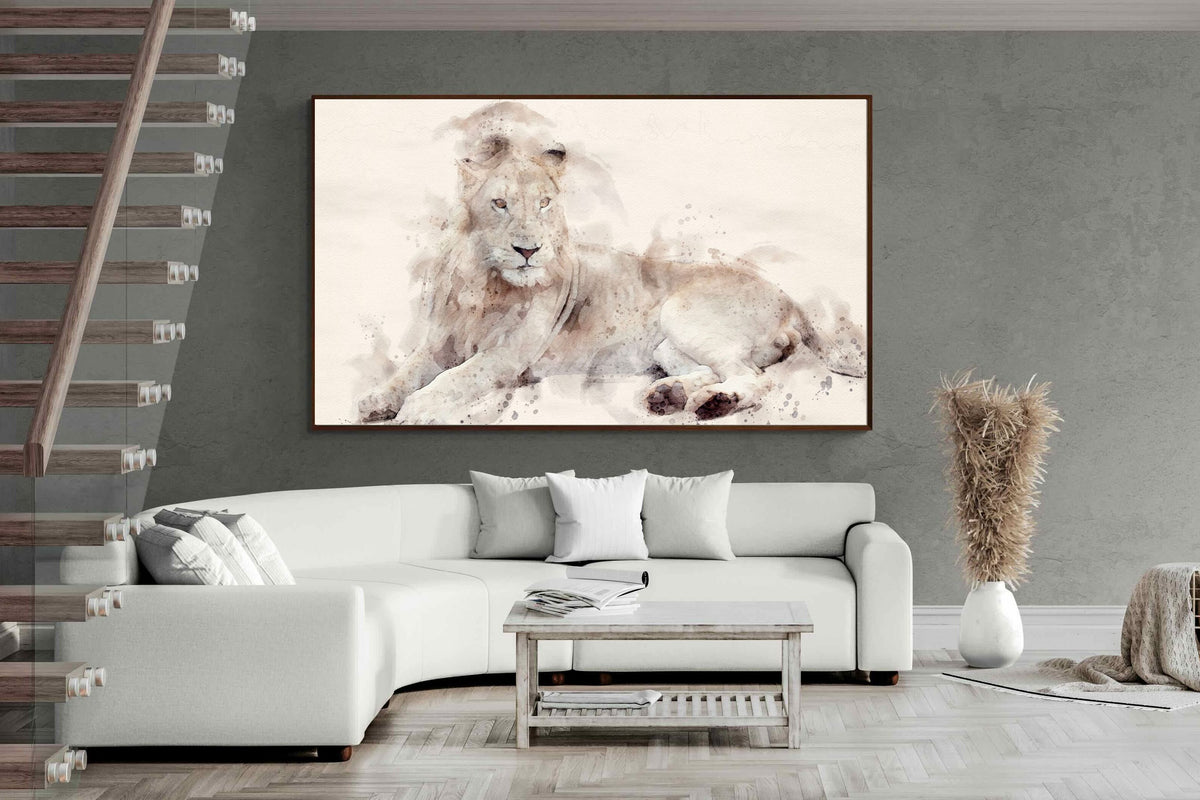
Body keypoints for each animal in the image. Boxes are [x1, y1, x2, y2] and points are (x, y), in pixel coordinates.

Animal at [357, 106, 865, 425]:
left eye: (544, 204)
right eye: (500, 204)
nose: (529, 250)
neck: (483, 283)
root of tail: (789, 298)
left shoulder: (508, 356)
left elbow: (455, 378)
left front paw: (416, 409)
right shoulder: (439, 343)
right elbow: (409, 369)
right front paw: (376, 400)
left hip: (685, 316)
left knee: (752, 378)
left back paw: (711, 405)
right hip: (668, 348)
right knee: (723, 369)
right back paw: (670, 396)